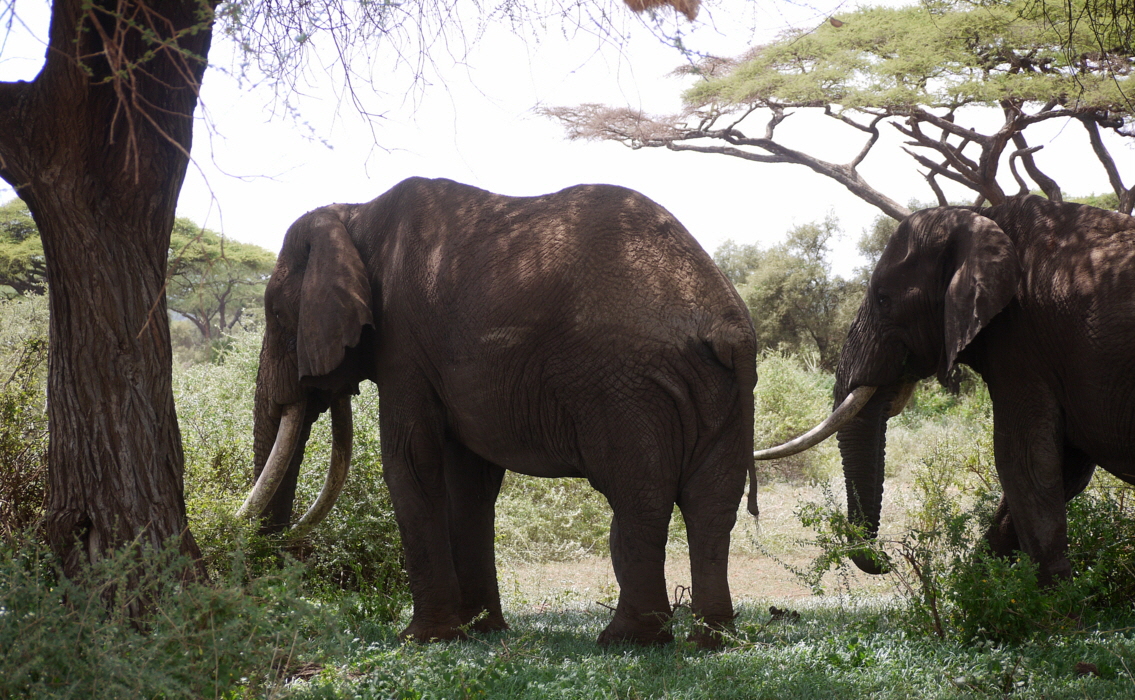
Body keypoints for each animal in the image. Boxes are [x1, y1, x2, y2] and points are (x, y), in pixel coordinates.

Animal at [237, 176, 762, 648]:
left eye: (277, 316)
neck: (354, 214)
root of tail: (727, 324)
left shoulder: (404, 342)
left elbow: (410, 461)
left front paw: (422, 639)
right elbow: (468, 480)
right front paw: (480, 630)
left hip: (629, 385)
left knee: (640, 499)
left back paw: (627, 641)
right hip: (720, 389)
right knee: (712, 505)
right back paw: (711, 640)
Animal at [758, 195, 1135, 585]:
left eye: (883, 299)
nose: (886, 560)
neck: (983, 219)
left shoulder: (1024, 344)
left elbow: (1024, 464)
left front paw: (1053, 600)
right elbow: (1064, 471)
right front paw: (978, 588)